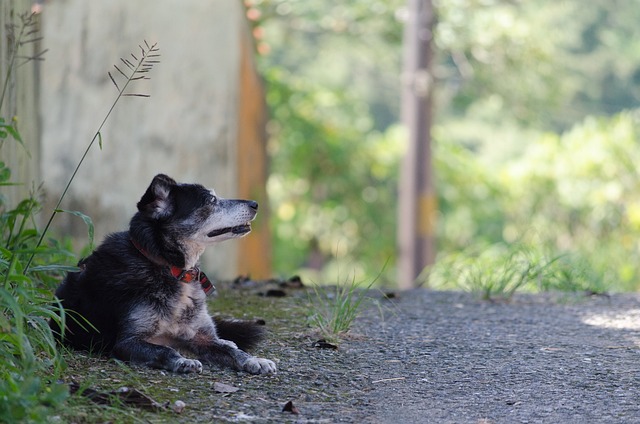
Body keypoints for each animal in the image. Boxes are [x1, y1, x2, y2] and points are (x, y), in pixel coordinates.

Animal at [51, 174, 276, 376]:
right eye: (211, 200)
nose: (255, 204)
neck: (172, 269)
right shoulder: (127, 342)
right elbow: (164, 349)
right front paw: (183, 361)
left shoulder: (201, 337)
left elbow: (232, 351)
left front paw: (255, 360)